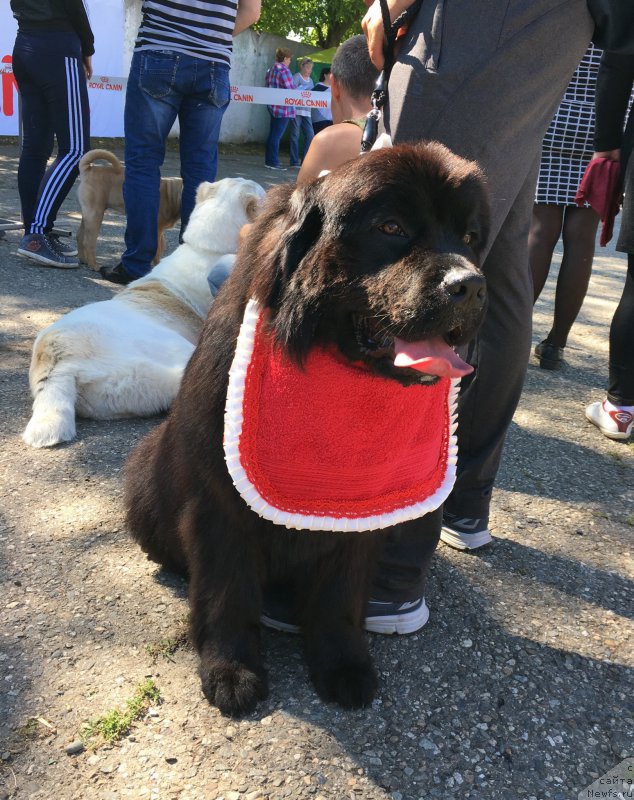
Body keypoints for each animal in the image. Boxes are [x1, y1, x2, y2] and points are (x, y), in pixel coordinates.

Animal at [124, 144, 488, 720]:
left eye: (471, 236)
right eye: (390, 226)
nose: (470, 285)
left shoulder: (358, 512)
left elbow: (340, 598)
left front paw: (343, 666)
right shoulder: (218, 502)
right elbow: (226, 591)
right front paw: (231, 671)